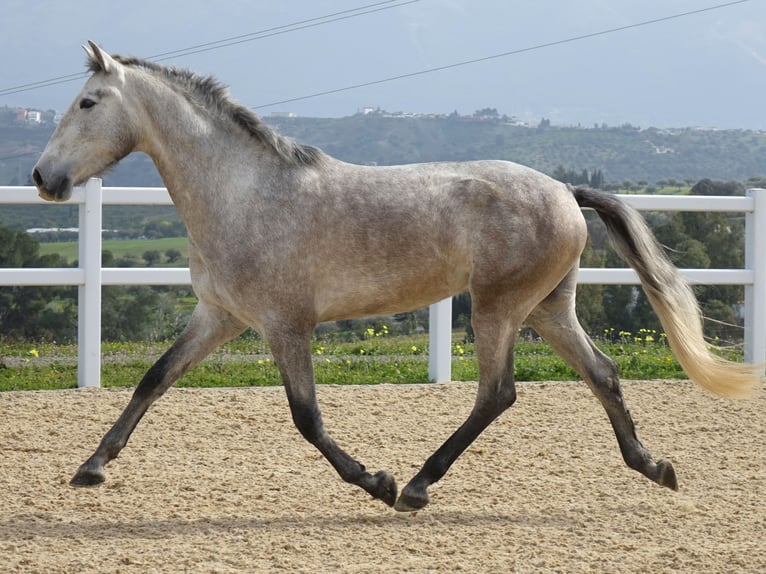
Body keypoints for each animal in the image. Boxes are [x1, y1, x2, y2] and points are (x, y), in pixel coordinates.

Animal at [32, 42, 758, 512]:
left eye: (88, 102)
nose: (43, 178)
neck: (244, 194)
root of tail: (562, 190)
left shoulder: (283, 325)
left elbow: (306, 417)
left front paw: (375, 482)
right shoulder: (220, 316)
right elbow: (153, 379)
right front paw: (91, 468)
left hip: (498, 307)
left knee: (497, 393)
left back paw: (415, 486)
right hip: (548, 307)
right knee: (602, 373)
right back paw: (655, 467)